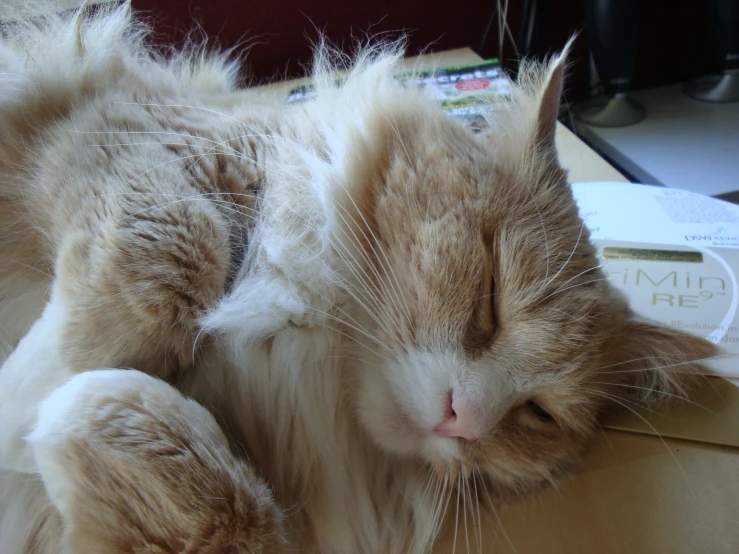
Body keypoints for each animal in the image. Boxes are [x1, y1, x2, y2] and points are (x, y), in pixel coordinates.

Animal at [0, 2, 716, 548]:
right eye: (491, 297)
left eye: (538, 414)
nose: (462, 418)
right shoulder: (131, 134)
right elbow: (157, 279)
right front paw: (26, 397)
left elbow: (227, 509)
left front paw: (73, 418)